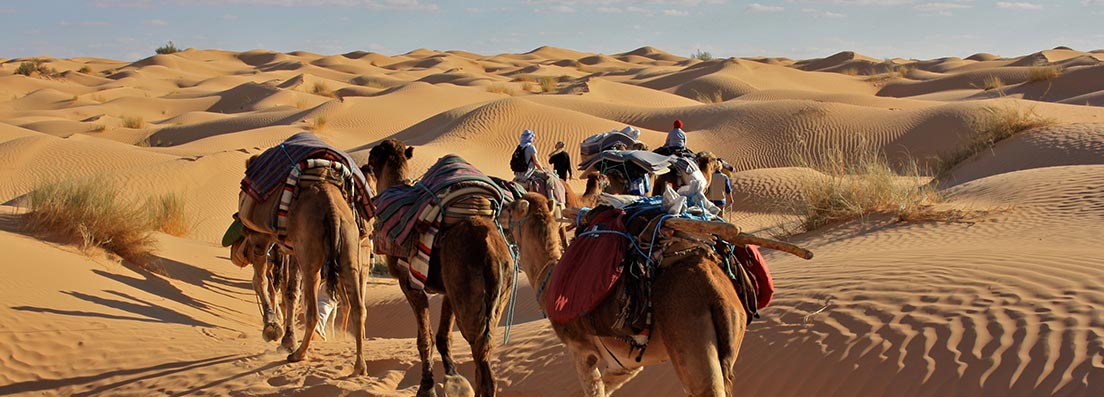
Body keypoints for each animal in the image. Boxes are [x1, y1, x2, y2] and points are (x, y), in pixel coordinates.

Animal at [364, 139, 514, 396]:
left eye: (374, 155)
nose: (365, 165)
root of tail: (492, 254)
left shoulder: (409, 283)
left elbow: (424, 339)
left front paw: (427, 387)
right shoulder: (447, 290)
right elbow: (443, 336)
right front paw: (454, 379)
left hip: (470, 299)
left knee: (482, 360)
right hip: (494, 296)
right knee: (483, 357)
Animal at [503, 192, 750, 396]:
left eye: (513, 207)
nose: (501, 209)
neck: (549, 282)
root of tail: (718, 297)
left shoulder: (581, 352)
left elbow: (594, 388)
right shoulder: (626, 364)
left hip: (691, 344)